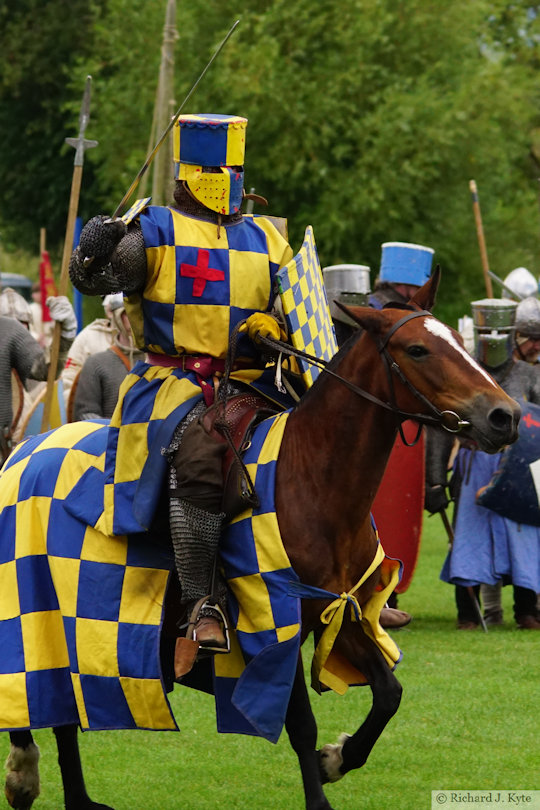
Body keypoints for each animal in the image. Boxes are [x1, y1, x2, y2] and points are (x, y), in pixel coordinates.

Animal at [3, 272, 520, 808]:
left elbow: (388, 694)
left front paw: (337, 759)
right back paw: (26, 772)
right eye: (417, 349)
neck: (312, 479)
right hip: (32, 606)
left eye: (459, 340)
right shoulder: (271, 620)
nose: (505, 416)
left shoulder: (339, 610)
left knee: (61, 712)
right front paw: (320, 793)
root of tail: (26, 448)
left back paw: (74, 797)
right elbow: (302, 724)